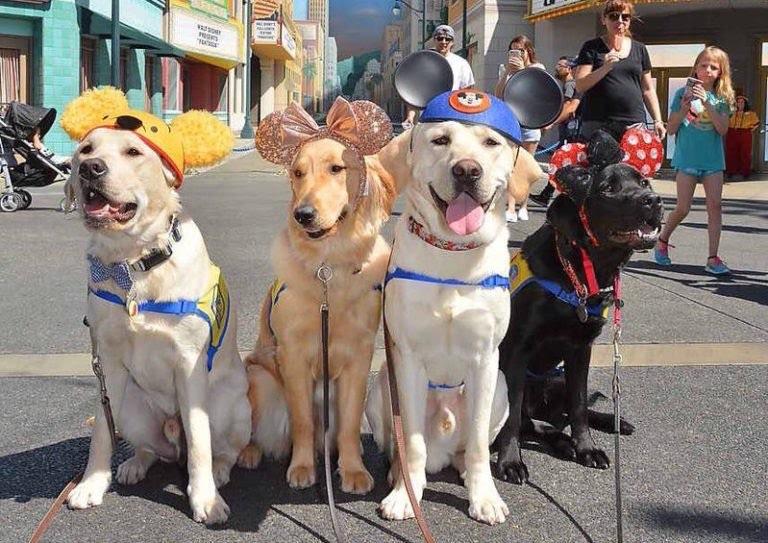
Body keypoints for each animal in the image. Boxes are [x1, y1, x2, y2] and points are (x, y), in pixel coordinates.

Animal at [62, 91, 252, 524]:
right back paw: (135, 463)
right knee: (149, 448)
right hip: (133, 406)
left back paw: (220, 471)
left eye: (133, 152)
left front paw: (205, 498)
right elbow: (101, 432)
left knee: (223, 448)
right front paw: (92, 483)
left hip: (228, 404)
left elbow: (199, 442)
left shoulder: (189, 364)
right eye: (86, 150)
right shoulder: (109, 363)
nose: (91, 169)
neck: (134, 262)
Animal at [240, 100, 392, 496]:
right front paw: (303, 467)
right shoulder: (292, 356)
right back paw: (250, 451)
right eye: (297, 173)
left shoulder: (358, 358)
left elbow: (351, 424)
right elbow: (304, 421)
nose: (303, 214)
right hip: (258, 375)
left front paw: (353, 470)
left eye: (337, 168)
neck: (329, 268)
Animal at [496, 131, 664, 484]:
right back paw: (562, 441)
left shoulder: (580, 349)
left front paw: (587, 448)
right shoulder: (516, 352)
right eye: (608, 188)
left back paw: (611, 422)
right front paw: (510, 462)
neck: (576, 269)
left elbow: (578, 407)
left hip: (557, 378)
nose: (653, 200)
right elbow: (511, 416)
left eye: (644, 181)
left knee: (564, 413)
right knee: (536, 423)